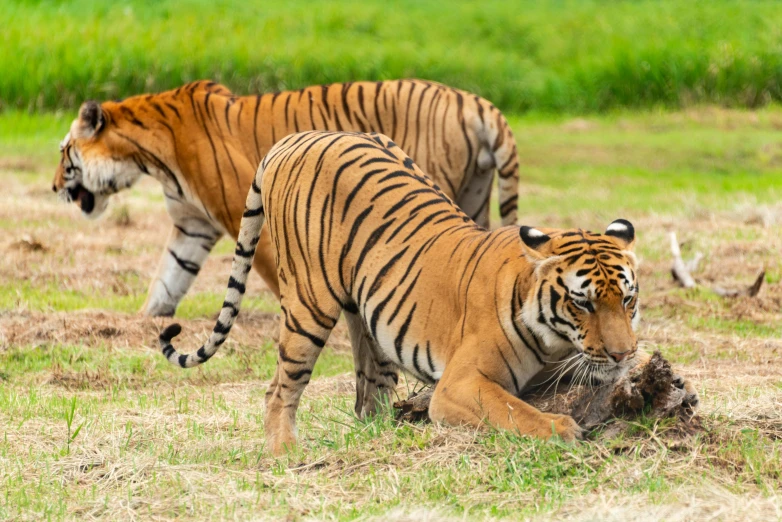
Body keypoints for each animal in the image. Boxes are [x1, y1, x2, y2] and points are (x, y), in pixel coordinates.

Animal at [53, 79, 520, 314]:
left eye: (63, 153)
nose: (54, 188)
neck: (147, 157)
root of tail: (478, 103)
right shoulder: (192, 225)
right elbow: (167, 280)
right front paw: (148, 325)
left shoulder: (237, 210)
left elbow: (269, 273)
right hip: (473, 197)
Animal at [159, 131, 700, 456]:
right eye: (582, 302)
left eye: (627, 300)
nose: (622, 353)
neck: (554, 340)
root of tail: (297, 137)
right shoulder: (461, 383)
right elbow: (513, 409)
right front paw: (563, 430)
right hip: (308, 305)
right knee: (281, 388)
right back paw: (285, 453)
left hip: (366, 314)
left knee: (368, 387)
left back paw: (380, 432)